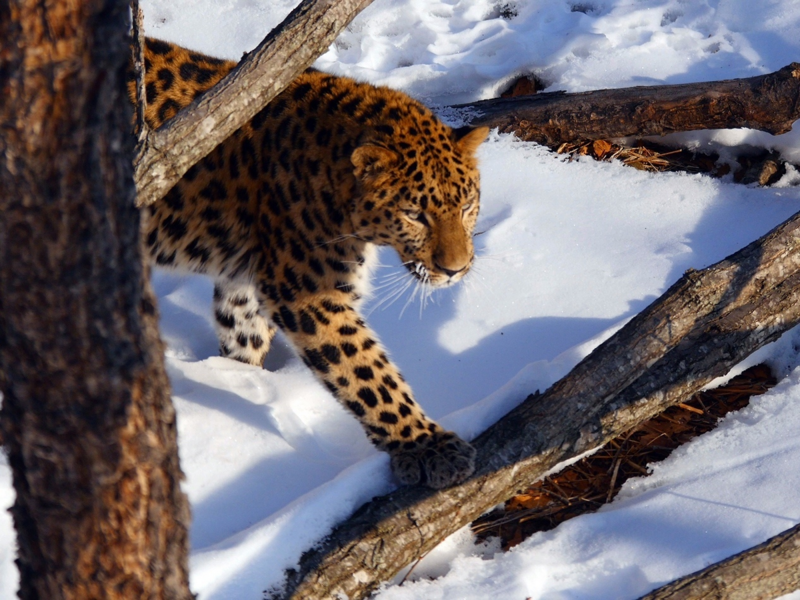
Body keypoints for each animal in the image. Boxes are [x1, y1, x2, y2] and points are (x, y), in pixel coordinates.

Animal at [133, 36, 488, 488]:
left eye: (467, 206)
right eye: (415, 215)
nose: (455, 269)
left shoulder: (247, 277)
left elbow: (243, 335)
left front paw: (241, 380)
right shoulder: (307, 293)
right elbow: (367, 373)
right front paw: (426, 445)